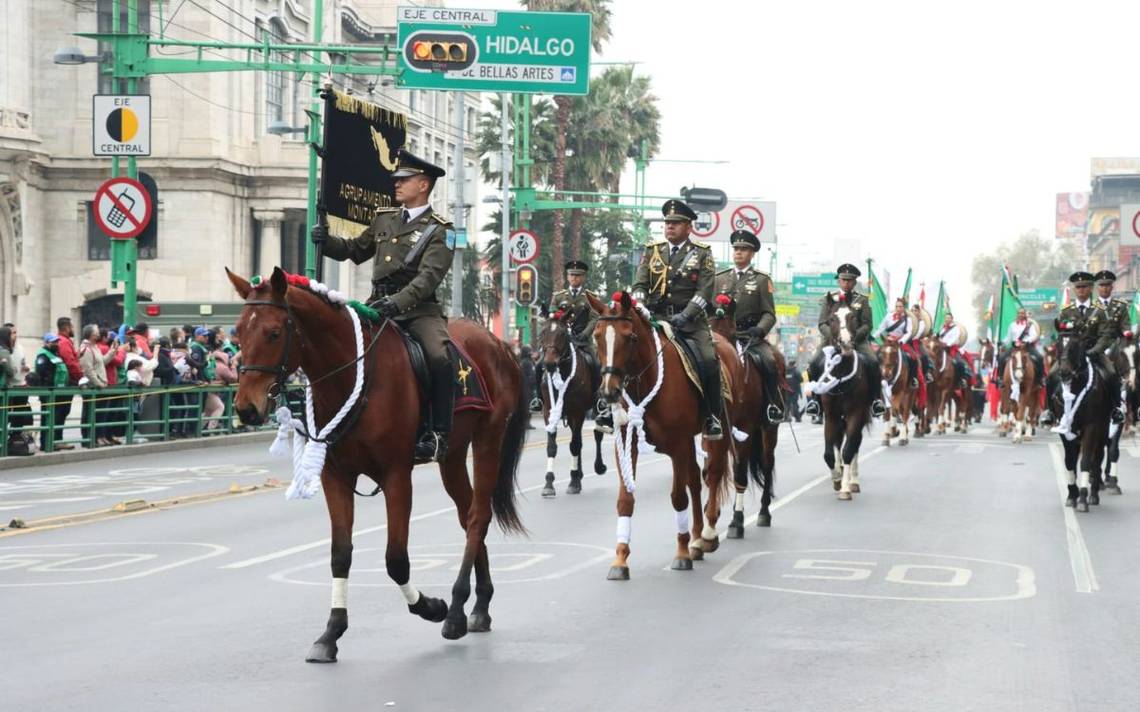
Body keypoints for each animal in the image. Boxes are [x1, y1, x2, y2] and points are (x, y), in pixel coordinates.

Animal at [228, 267, 528, 660]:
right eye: (238, 331)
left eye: (274, 332)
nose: (246, 408)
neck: (352, 376)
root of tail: (499, 344)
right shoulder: (336, 477)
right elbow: (340, 554)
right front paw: (331, 632)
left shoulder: (396, 476)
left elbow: (395, 559)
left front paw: (431, 607)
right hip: (452, 456)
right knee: (467, 516)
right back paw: (479, 605)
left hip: (488, 439)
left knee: (478, 517)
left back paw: (456, 609)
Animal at [533, 314, 606, 496]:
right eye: (543, 332)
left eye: (562, 334)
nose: (549, 363)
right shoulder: (548, 411)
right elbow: (552, 447)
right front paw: (549, 484)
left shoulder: (577, 411)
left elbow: (574, 445)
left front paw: (573, 481)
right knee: (577, 439)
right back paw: (578, 474)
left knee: (595, 435)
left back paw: (596, 468)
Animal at [592, 290, 734, 578]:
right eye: (597, 336)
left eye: (630, 337)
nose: (609, 392)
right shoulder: (627, 443)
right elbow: (625, 500)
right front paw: (620, 559)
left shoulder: (678, 444)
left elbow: (678, 497)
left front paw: (680, 554)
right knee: (695, 478)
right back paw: (696, 539)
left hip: (717, 433)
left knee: (712, 474)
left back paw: (708, 534)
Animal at [706, 296, 779, 535]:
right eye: (708, 325)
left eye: (729, 330)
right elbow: (709, 469)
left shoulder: (745, 426)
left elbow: (739, 472)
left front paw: (736, 520)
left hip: (768, 428)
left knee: (767, 463)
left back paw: (764, 512)